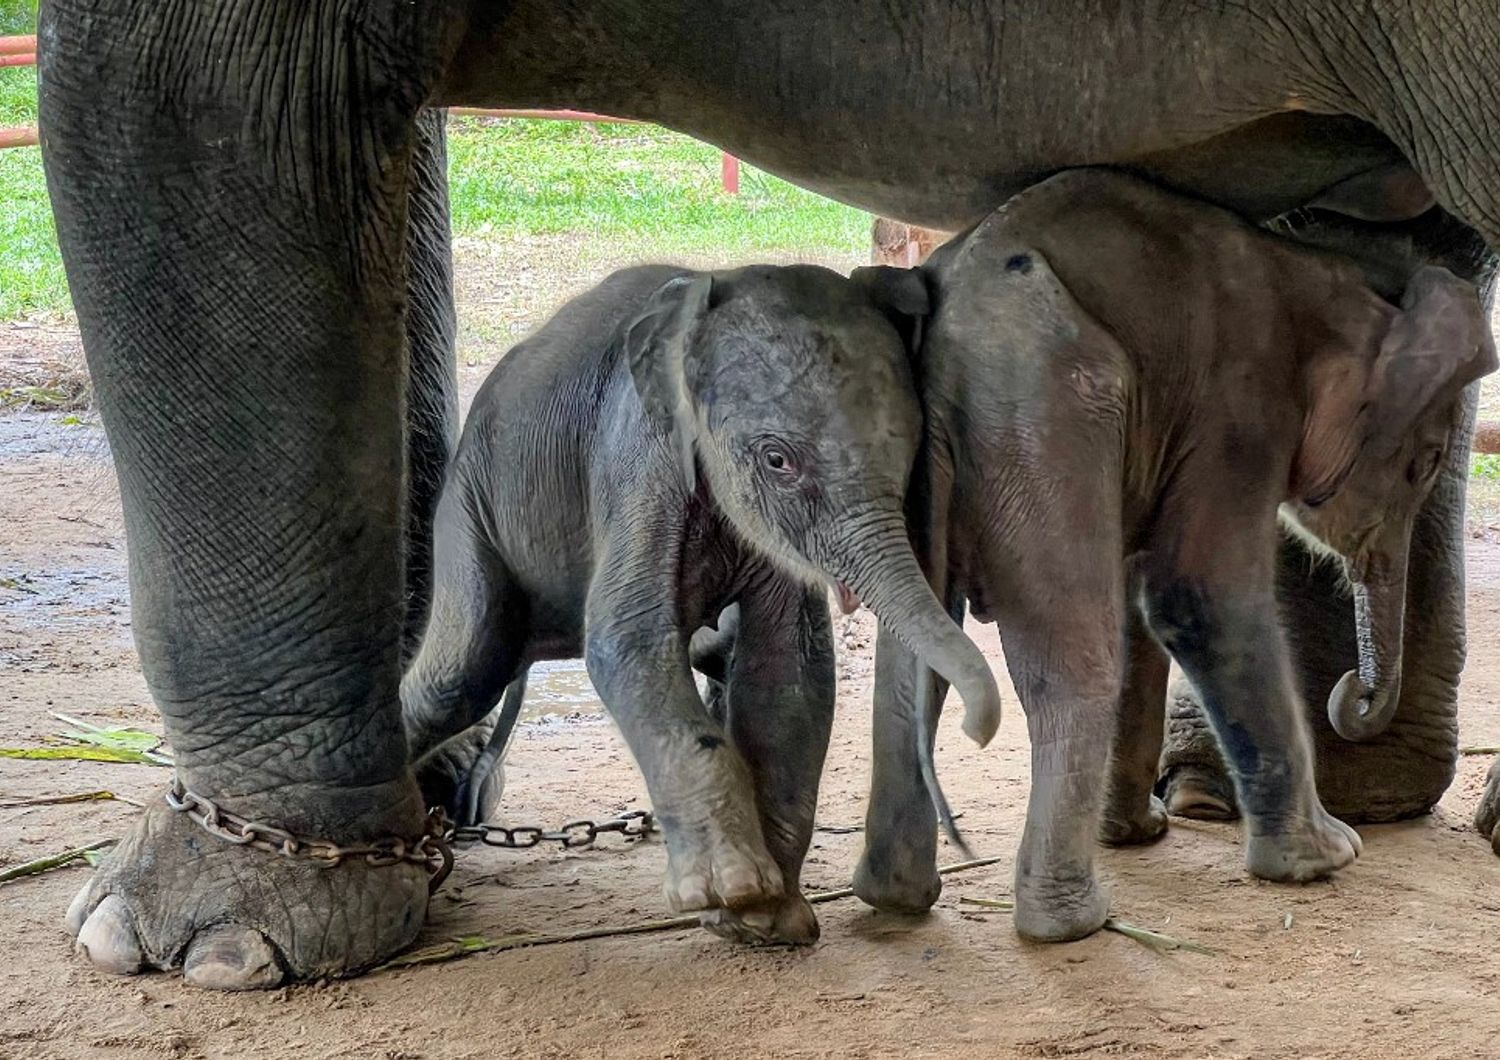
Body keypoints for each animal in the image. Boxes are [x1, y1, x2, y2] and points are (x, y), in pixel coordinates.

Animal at [405, 263, 1002, 947]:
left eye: (909, 452)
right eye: (777, 460)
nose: (974, 730)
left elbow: (789, 667)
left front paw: (766, 921)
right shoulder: (638, 458)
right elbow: (627, 639)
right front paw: (735, 891)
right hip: (468, 512)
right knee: (463, 673)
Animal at [852, 170, 1494, 941]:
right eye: (1424, 463)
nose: (1352, 695)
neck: (1318, 273)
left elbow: (1141, 603)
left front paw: (1141, 833)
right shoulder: (1238, 409)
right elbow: (1199, 596)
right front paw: (1330, 857)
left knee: (913, 653)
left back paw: (894, 897)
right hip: (1041, 417)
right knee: (1071, 655)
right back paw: (1069, 922)